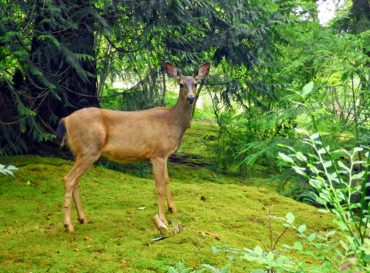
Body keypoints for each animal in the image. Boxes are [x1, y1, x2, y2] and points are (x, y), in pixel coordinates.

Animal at [56, 61, 210, 232]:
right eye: (181, 84)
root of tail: (66, 120)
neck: (173, 123)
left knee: (75, 180)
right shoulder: (157, 154)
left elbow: (167, 180)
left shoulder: (165, 155)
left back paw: (82, 218)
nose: (191, 97)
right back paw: (68, 224)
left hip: (80, 151)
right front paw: (163, 219)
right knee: (69, 178)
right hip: (89, 149)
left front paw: (173, 209)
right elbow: (159, 187)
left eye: (196, 83)